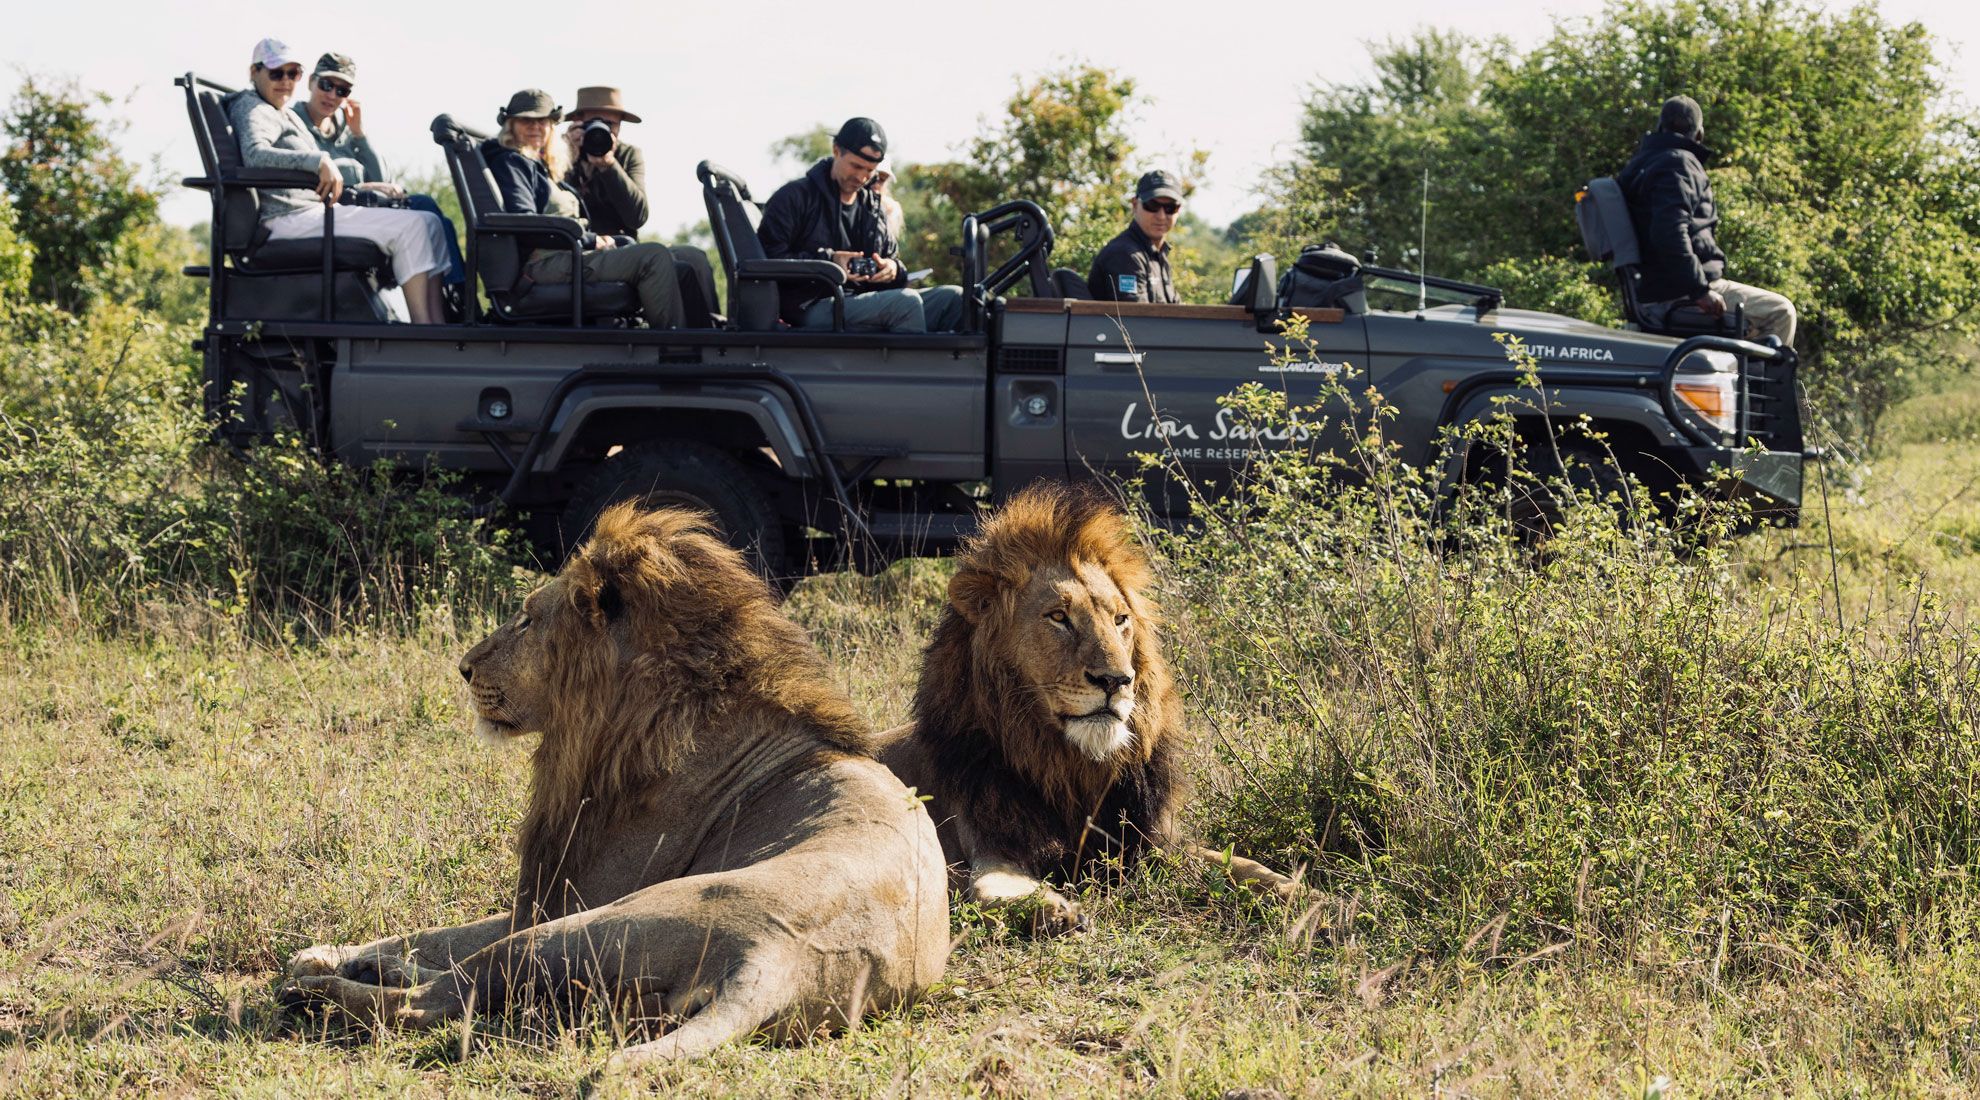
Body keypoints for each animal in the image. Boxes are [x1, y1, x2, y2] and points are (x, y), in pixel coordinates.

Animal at [280, 503, 949, 1068]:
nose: (464, 668)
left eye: (526, 620)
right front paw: (338, 950)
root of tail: (773, 965)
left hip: (596, 923)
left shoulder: (567, 893)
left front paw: (321, 962)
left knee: (435, 999)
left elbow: (449, 937)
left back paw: (314, 995)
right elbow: (432, 933)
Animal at [876, 482, 1303, 933]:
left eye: (1120, 619)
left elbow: (1239, 863)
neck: (1070, 769)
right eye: (1058, 617)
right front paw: (1053, 910)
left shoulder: (1152, 843)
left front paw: (1300, 893)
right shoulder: (989, 848)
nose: (1116, 681)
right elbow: (990, 888)